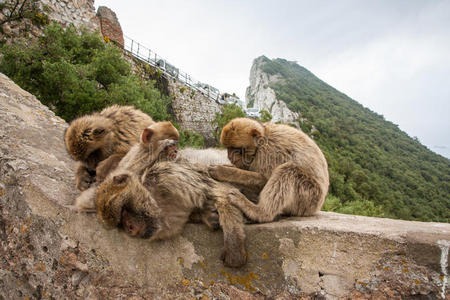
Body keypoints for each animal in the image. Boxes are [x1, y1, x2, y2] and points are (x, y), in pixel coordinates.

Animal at [96, 125, 250, 266]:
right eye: (120, 224)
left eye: (123, 211)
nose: (128, 227)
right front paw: (205, 214)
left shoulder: (167, 175)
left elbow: (223, 192)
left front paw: (234, 245)